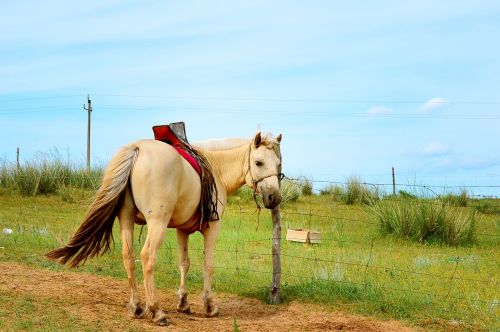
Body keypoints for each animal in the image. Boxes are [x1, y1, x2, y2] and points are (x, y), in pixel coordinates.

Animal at [46, 131, 284, 326]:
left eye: (279, 165)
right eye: (259, 162)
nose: (274, 198)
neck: (216, 168)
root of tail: (138, 148)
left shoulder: (182, 231)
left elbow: (184, 264)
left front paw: (183, 303)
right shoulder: (212, 228)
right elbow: (207, 265)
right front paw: (209, 306)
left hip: (126, 219)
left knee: (128, 256)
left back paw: (137, 307)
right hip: (157, 223)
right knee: (147, 257)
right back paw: (156, 311)